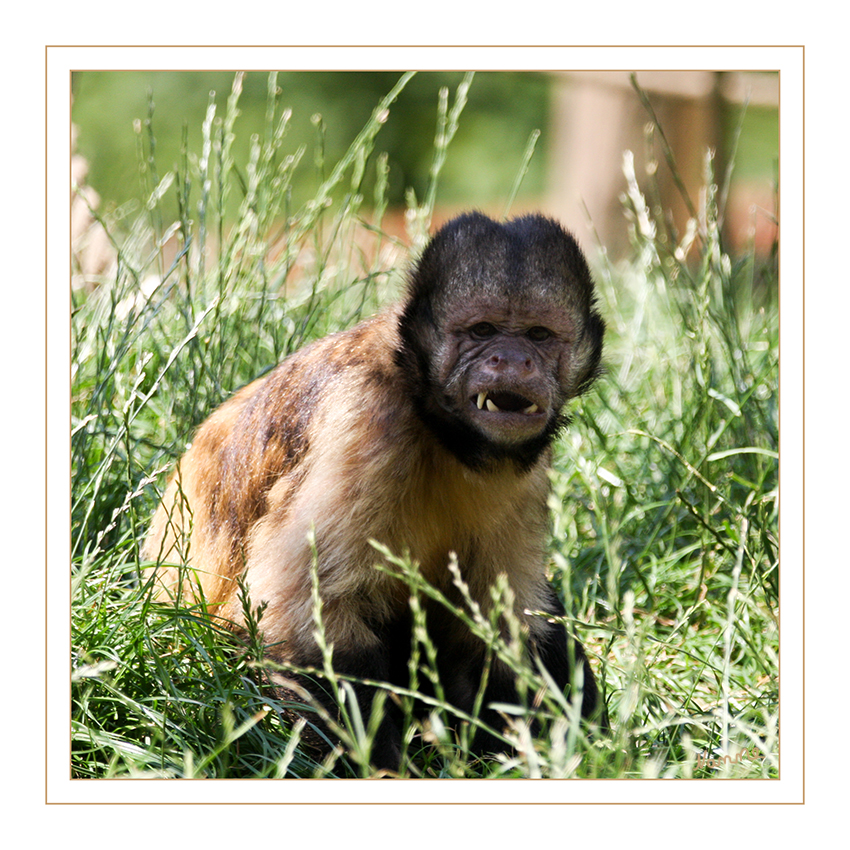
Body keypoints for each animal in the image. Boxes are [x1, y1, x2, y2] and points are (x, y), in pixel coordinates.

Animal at [147, 212, 608, 768]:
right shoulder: (363, 418)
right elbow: (303, 615)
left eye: (539, 335)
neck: (438, 427)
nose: (512, 358)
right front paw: (380, 769)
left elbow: (504, 626)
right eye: (483, 330)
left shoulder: (526, 471)